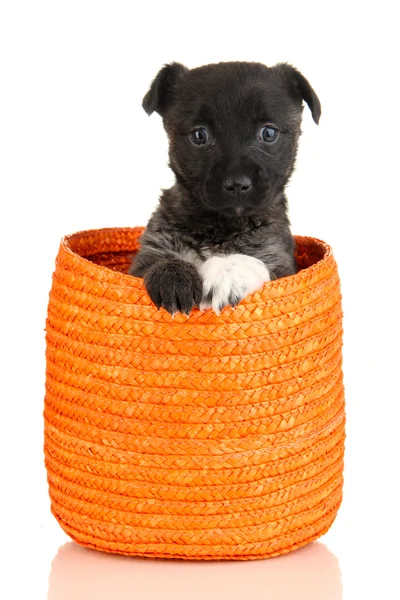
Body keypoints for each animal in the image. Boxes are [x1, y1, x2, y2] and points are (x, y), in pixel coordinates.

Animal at [130, 60, 320, 314]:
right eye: (199, 135)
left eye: (269, 132)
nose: (237, 184)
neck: (221, 226)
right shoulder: (146, 257)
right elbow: (158, 261)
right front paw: (172, 276)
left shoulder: (279, 262)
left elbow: (248, 261)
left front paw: (227, 273)